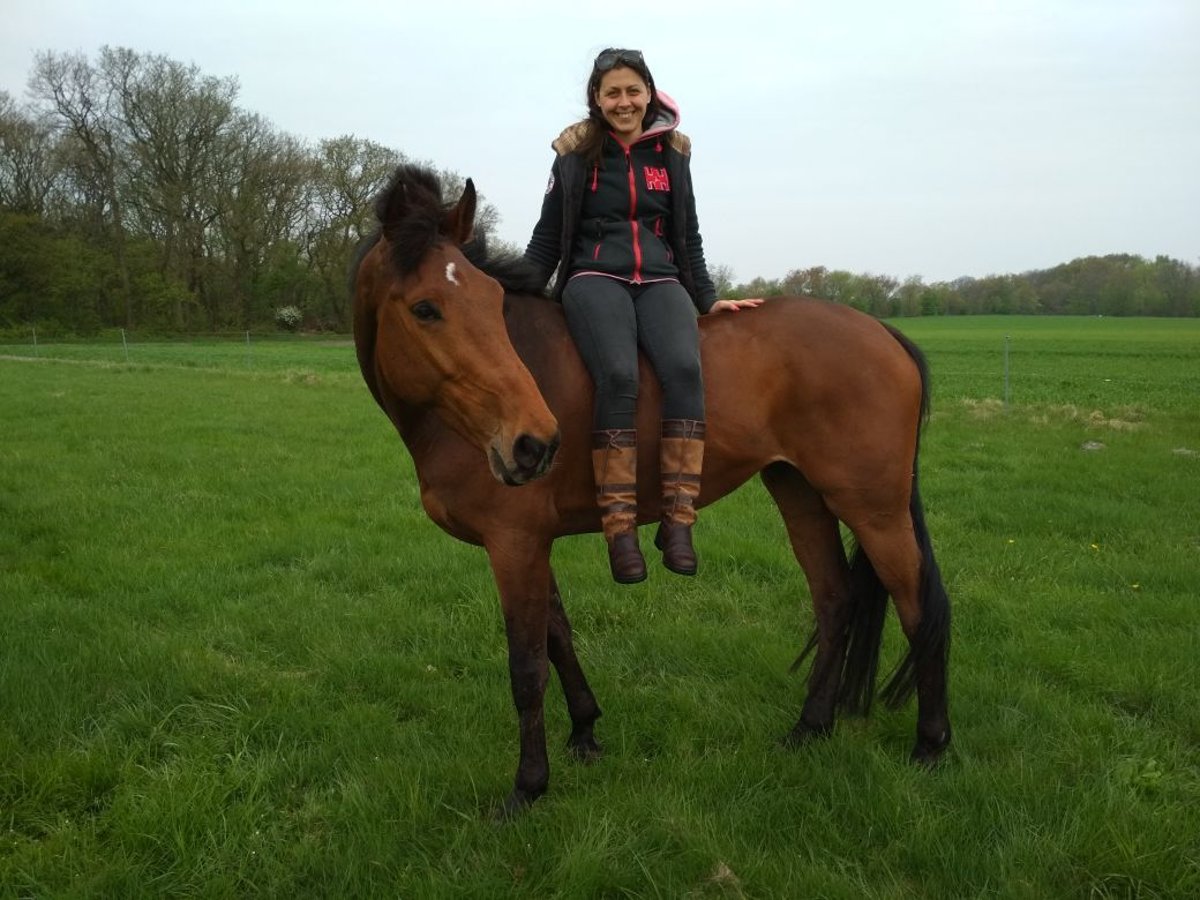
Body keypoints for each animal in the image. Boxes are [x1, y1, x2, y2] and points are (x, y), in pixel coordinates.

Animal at [350, 168, 950, 816]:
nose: (533, 443)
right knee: (836, 600)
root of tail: (882, 331)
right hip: (800, 492)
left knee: (921, 609)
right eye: (425, 308)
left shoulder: (514, 543)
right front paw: (585, 733)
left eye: (491, 303)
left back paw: (931, 745)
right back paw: (809, 728)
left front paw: (528, 786)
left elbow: (528, 666)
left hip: (875, 510)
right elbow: (559, 637)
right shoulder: (532, 543)